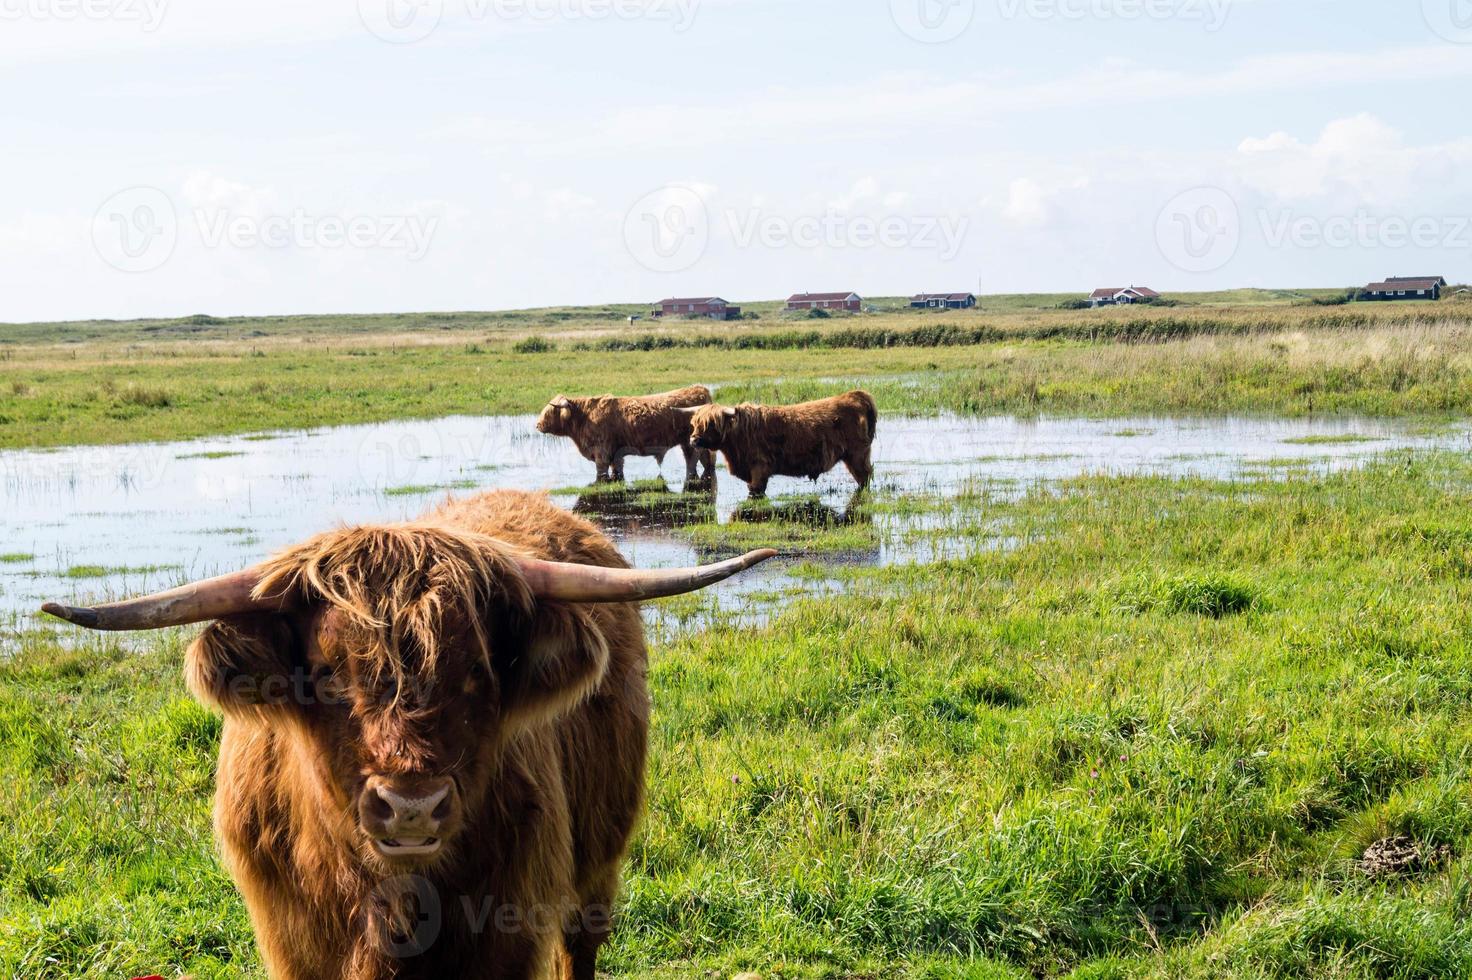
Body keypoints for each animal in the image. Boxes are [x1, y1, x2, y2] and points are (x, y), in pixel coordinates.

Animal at [538, 385, 715, 485]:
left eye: (550, 411)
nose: (537, 424)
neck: (583, 417)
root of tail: (699, 389)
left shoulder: (601, 453)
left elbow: (601, 472)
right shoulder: (615, 454)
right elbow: (617, 470)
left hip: (692, 443)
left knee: (697, 460)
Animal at [685, 388, 877, 497]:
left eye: (711, 424)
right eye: (695, 423)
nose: (693, 439)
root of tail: (855, 395)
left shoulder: (759, 469)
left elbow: (755, 492)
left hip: (857, 455)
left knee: (864, 477)